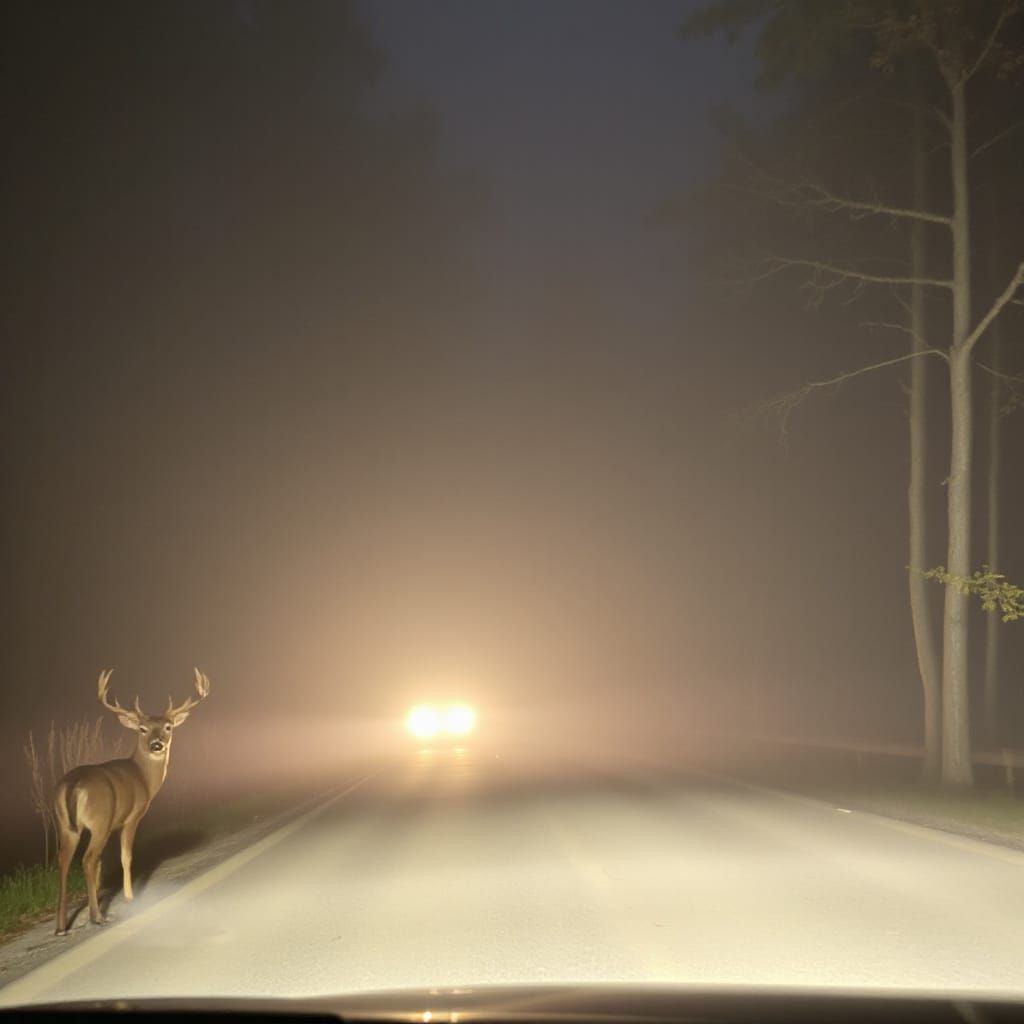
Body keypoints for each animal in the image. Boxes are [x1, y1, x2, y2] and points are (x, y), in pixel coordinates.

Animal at [54, 668, 211, 935]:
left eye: (168, 727)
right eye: (142, 729)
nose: (157, 745)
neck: (143, 777)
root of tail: (73, 785)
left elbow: (102, 867)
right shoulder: (132, 817)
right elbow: (126, 857)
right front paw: (129, 897)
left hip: (67, 826)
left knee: (64, 862)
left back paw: (61, 927)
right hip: (99, 821)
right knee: (87, 860)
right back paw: (97, 917)